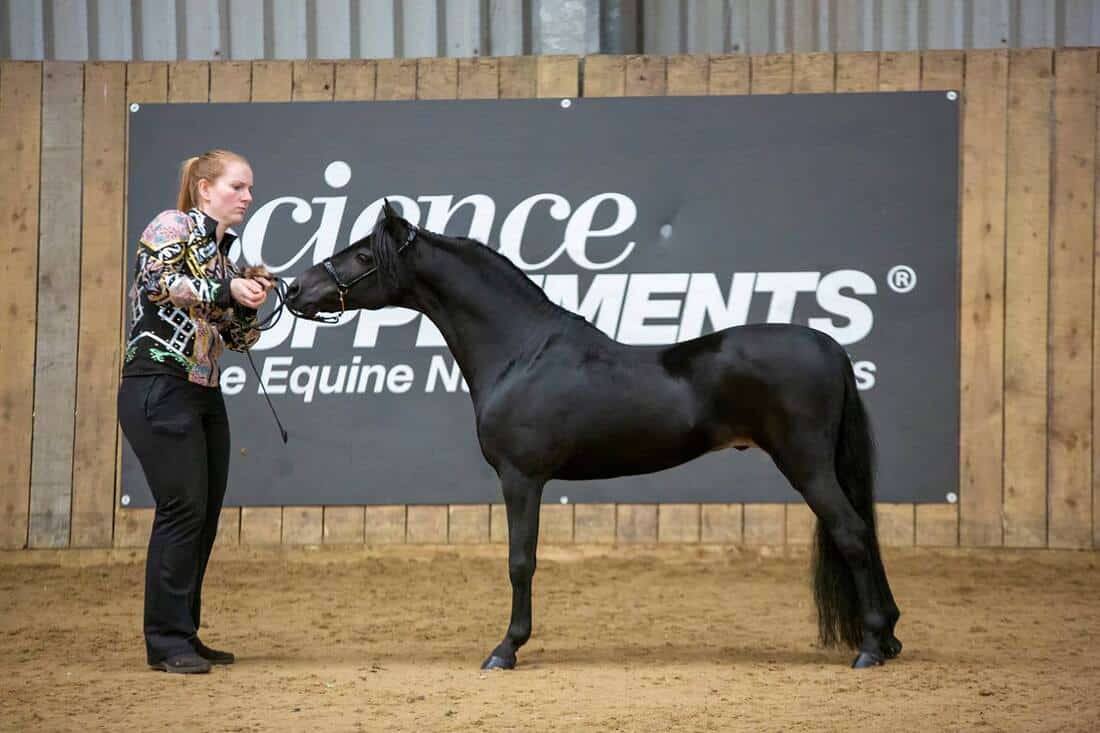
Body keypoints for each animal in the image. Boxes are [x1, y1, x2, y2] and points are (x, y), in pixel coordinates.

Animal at [284, 201, 902, 669]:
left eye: (363, 254)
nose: (294, 289)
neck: (521, 351)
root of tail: (830, 346)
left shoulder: (522, 479)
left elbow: (520, 560)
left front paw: (506, 649)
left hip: (806, 464)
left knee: (852, 533)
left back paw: (871, 646)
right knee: (865, 533)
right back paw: (890, 635)